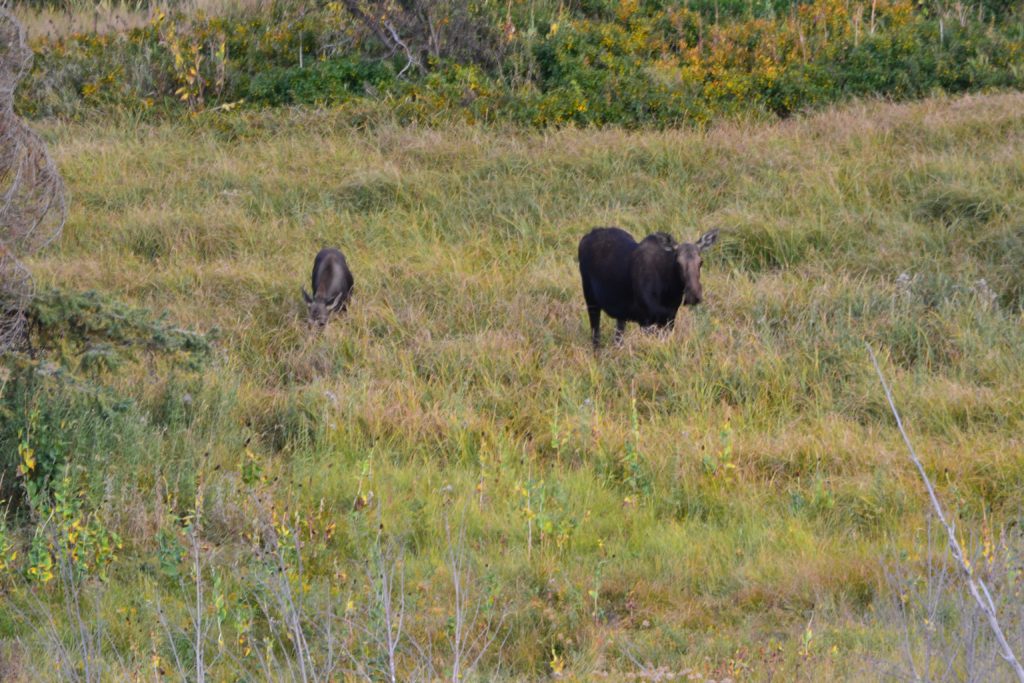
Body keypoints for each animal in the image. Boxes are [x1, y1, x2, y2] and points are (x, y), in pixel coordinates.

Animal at [577, 228, 720, 350]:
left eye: (701, 261)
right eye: (678, 262)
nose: (694, 295)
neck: (668, 293)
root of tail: (585, 238)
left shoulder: (669, 319)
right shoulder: (646, 321)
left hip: (620, 311)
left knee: (618, 337)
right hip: (591, 299)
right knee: (596, 336)